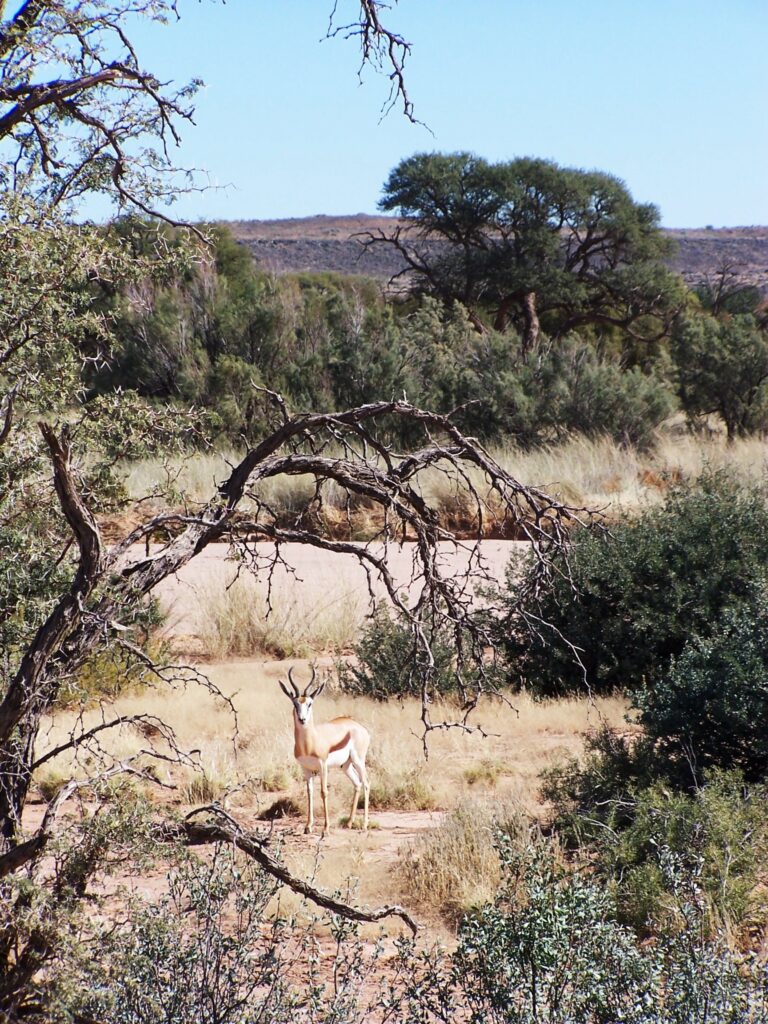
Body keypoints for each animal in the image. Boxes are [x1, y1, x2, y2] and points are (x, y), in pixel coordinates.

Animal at [280, 667, 370, 835]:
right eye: (295, 704)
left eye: (309, 703)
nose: (302, 719)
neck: (309, 744)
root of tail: (359, 727)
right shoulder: (306, 768)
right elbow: (309, 792)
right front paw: (308, 826)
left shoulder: (323, 766)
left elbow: (323, 792)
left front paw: (326, 828)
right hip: (345, 765)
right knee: (357, 783)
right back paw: (349, 823)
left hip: (358, 761)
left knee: (366, 783)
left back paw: (364, 825)